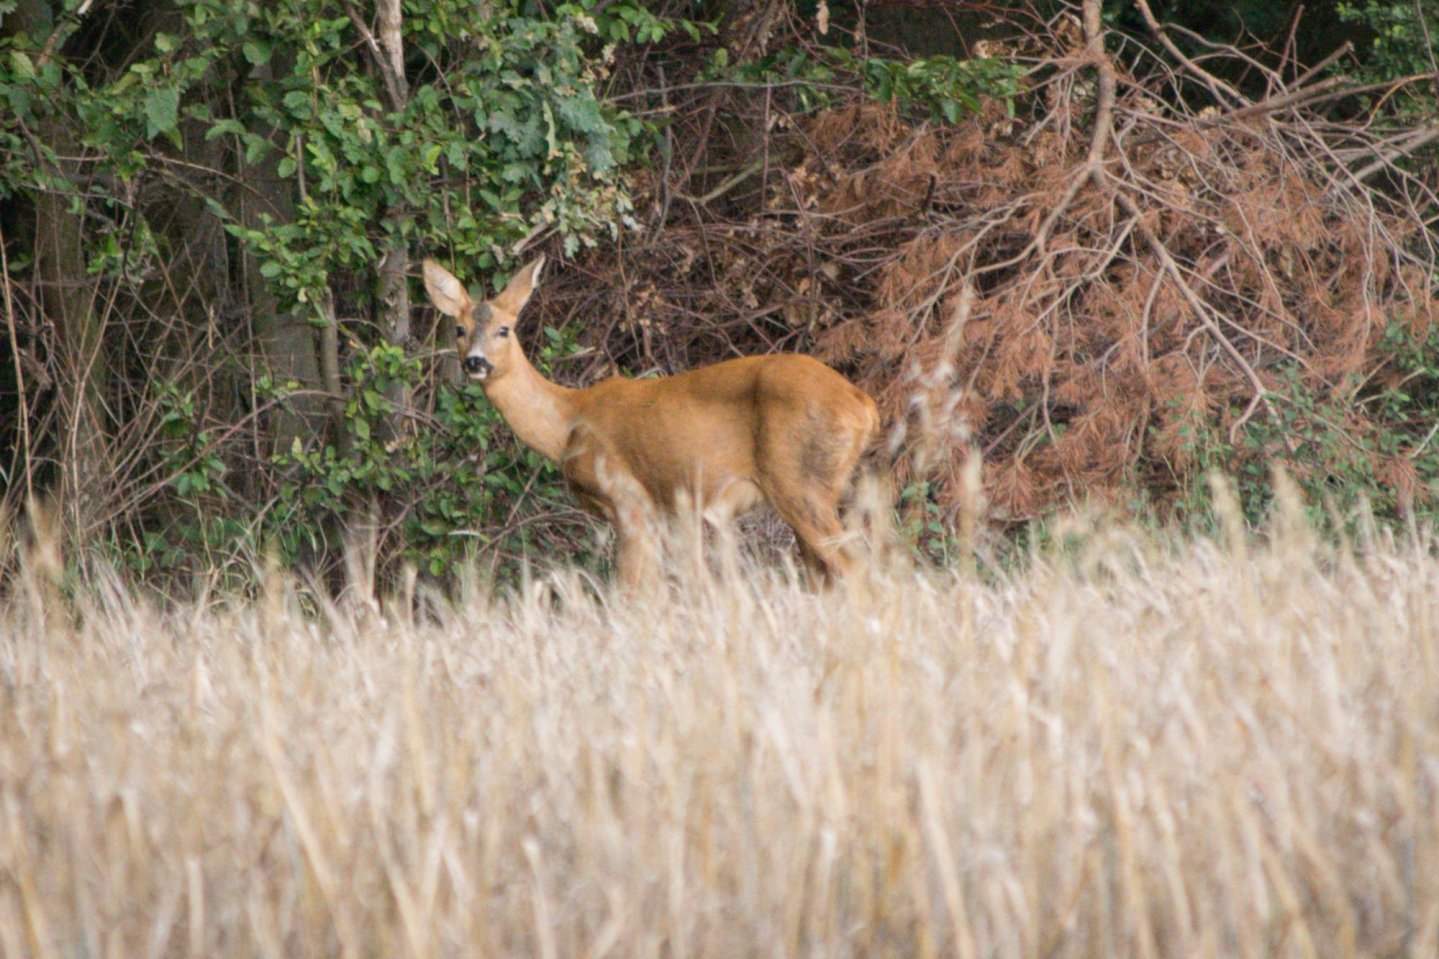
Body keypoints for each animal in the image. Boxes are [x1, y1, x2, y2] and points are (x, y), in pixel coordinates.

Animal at [422, 256, 880, 589]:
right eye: (459, 328)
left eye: (504, 329)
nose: (476, 362)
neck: (569, 421)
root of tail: (864, 405)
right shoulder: (665, 513)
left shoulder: (628, 498)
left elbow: (631, 593)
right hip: (812, 486)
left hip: (799, 480)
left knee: (858, 568)